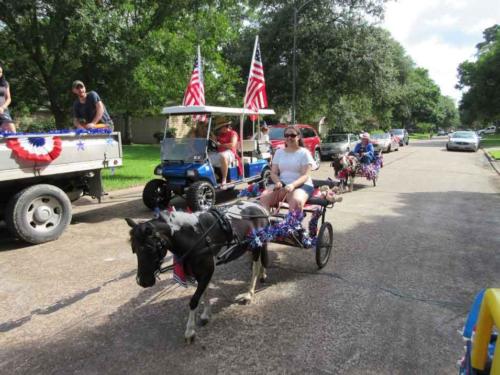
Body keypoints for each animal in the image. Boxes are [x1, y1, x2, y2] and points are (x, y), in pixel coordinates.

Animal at [127, 203, 272, 344]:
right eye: (134, 249)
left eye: (149, 248)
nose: (142, 281)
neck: (196, 237)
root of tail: (260, 207)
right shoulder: (202, 273)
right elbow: (204, 293)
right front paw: (206, 314)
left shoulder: (207, 271)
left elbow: (194, 300)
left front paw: (190, 330)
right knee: (260, 262)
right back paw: (263, 275)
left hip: (256, 244)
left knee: (255, 267)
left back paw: (249, 294)